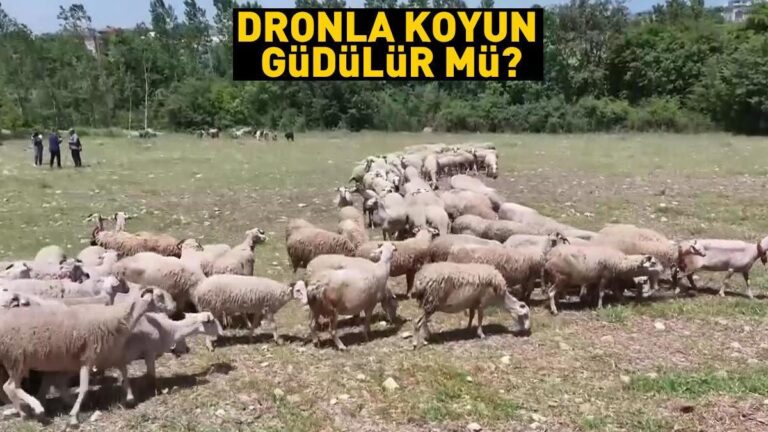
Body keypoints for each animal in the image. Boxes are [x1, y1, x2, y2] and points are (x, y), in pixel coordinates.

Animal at [0, 288, 155, 424]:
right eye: (155, 298)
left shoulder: (109, 355)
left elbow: (124, 373)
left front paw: (129, 398)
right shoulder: (88, 359)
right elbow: (83, 388)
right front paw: (74, 416)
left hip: (18, 362)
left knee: (10, 388)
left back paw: (24, 412)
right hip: (16, 359)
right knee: (10, 387)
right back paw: (34, 410)